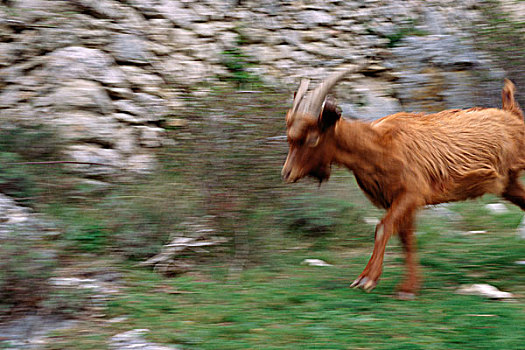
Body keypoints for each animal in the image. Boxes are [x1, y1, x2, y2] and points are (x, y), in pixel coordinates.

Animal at [282, 69, 524, 298]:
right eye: (290, 138)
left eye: (313, 138)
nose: (287, 173)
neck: (378, 146)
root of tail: (512, 113)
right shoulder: (399, 200)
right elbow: (406, 239)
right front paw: (408, 288)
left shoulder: (412, 193)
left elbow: (383, 228)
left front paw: (367, 279)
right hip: (507, 183)